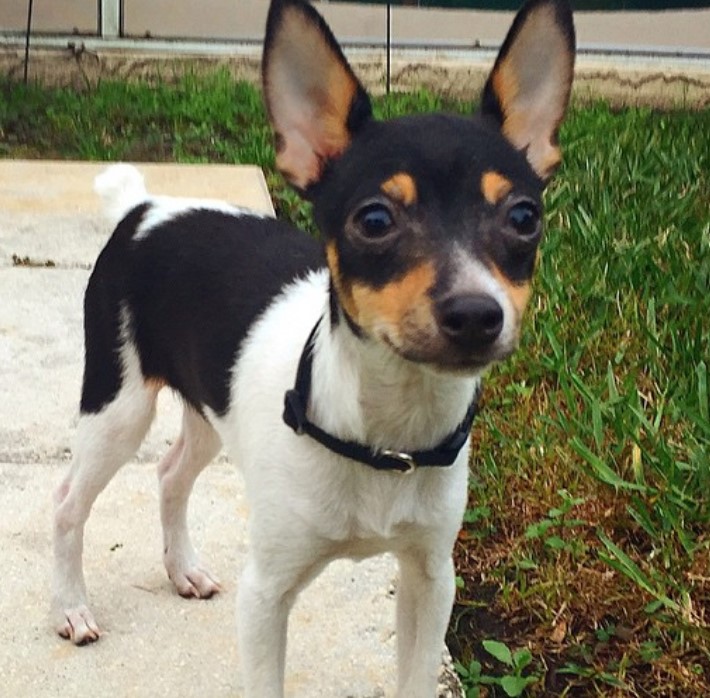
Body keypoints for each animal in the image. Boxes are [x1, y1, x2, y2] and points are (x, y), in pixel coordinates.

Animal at [51, 1, 572, 692]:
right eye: (374, 220)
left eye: (523, 218)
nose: (475, 314)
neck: (384, 433)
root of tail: (145, 208)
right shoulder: (265, 594)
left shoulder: (431, 579)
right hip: (118, 407)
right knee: (68, 503)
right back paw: (72, 607)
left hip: (210, 410)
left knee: (170, 474)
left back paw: (181, 567)